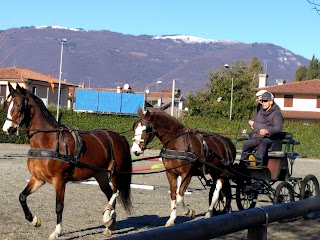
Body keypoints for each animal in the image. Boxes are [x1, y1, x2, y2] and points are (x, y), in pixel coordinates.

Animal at [2, 83, 132, 238]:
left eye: (19, 105)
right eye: (7, 104)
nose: (8, 129)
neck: (48, 141)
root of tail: (118, 137)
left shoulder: (60, 180)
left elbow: (59, 206)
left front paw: (57, 231)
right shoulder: (38, 178)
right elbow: (22, 196)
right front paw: (34, 220)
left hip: (113, 174)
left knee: (115, 193)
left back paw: (107, 218)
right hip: (100, 176)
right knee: (110, 194)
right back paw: (110, 224)